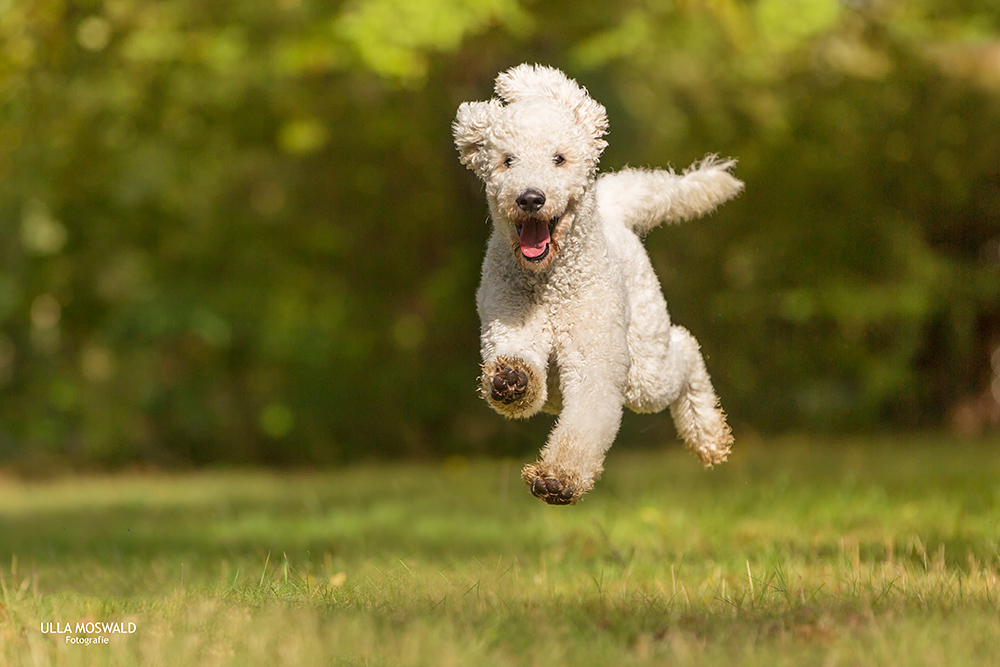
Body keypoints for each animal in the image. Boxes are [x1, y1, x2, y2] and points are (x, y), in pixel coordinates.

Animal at [456, 66, 744, 506]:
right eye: (508, 160)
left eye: (559, 158)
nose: (530, 197)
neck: (550, 284)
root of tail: (613, 204)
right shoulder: (508, 329)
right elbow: (516, 365)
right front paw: (512, 380)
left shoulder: (594, 362)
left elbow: (584, 424)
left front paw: (559, 478)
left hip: (643, 369)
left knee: (686, 347)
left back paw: (707, 435)